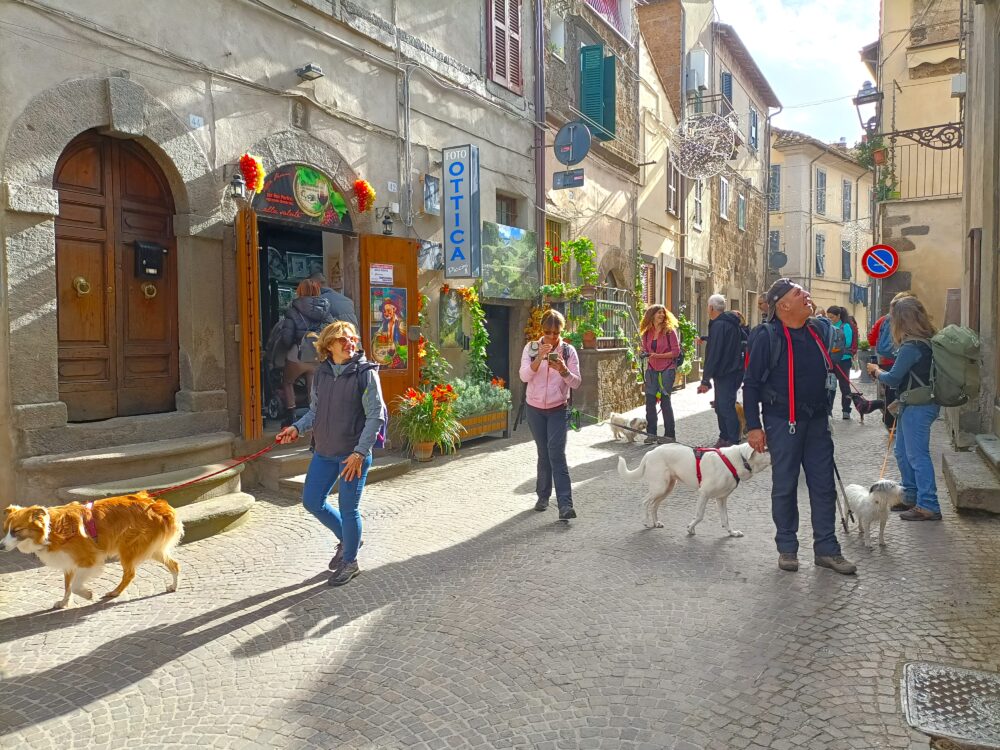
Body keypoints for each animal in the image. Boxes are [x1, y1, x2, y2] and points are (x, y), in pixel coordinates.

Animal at [1, 494, 184, 612]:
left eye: (16, 531)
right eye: (5, 530)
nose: (1, 546)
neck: (50, 530)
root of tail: (158, 506)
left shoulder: (89, 560)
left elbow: (75, 586)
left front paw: (88, 595)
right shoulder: (68, 562)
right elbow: (67, 587)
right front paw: (64, 602)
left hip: (128, 549)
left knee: (130, 574)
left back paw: (115, 592)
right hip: (153, 550)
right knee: (175, 565)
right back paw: (174, 586)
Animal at [612, 444, 768, 536]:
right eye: (766, 449)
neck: (738, 460)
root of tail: (650, 453)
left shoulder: (721, 498)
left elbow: (725, 519)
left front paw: (732, 532)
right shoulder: (704, 493)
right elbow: (699, 515)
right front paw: (690, 527)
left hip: (667, 488)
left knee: (654, 505)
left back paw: (656, 522)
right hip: (659, 487)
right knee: (645, 502)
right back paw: (645, 521)